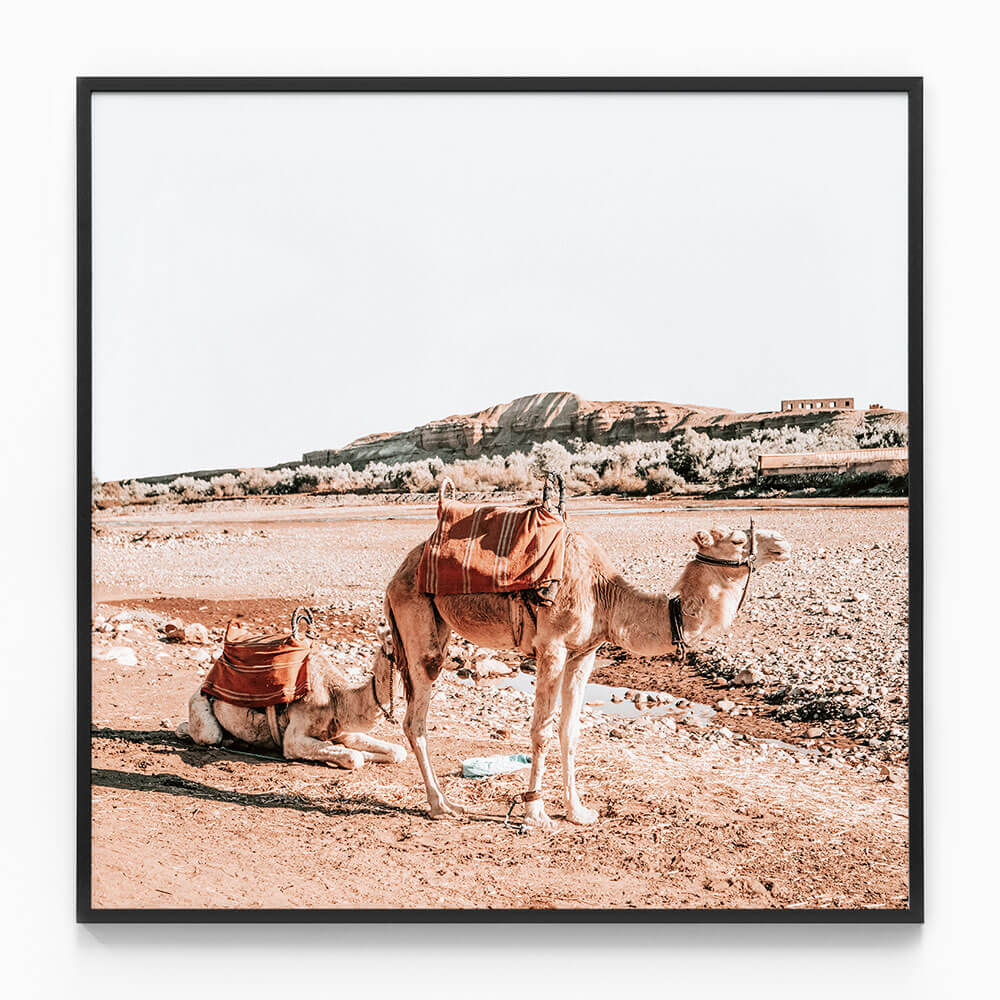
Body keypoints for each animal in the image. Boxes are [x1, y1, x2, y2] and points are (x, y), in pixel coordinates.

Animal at [184, 624, 407, 768]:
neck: (336, 697)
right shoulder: (294, 737)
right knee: (207, 734)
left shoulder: (344, 730)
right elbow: (354, 757)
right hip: (200, 705)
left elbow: (398, 752)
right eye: (390, 640)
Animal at [385, 520, 791, 829]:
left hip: (437, 624)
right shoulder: (552, 647)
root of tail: (396, 576)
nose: (782, 544)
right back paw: (441, 806)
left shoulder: (584, 653)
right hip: (418, 621)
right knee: (415, 717)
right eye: (737, 540)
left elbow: (570, 730)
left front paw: (577, 811)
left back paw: (444, 803)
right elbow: (542, 731)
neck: (605, 596)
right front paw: (535, 814)